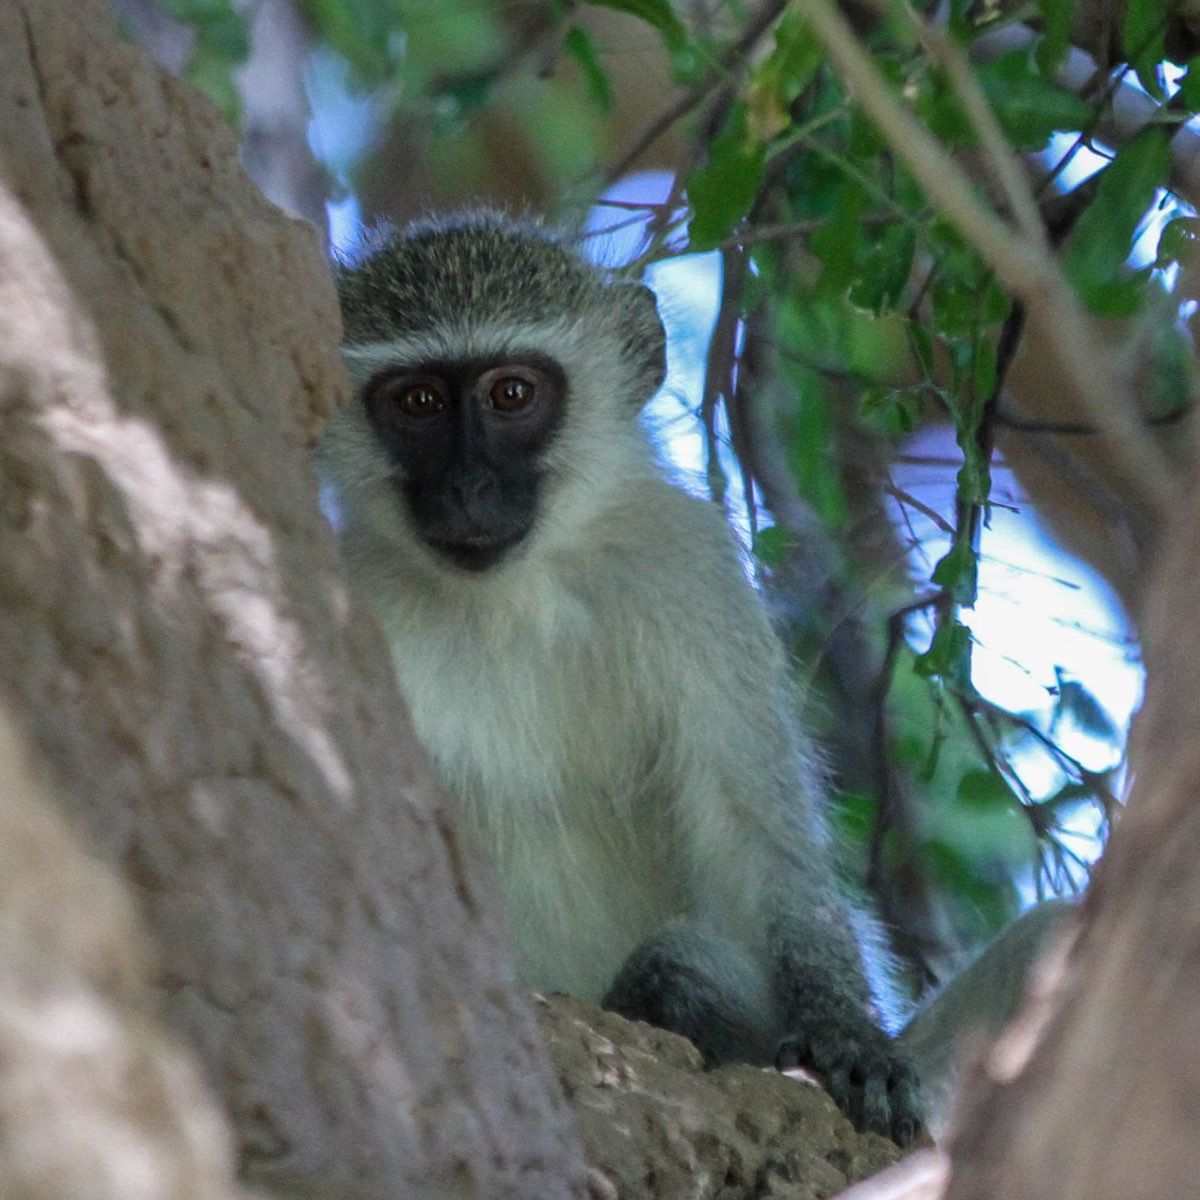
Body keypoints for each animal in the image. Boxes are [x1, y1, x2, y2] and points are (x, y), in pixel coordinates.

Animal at [315, 209, 1046, 1146]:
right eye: (418, 403)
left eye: (511, 395)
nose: (468, 486)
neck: (512, 594)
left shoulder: (691, 569)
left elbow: (756, 828)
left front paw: (849, 1037)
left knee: (686, 959)